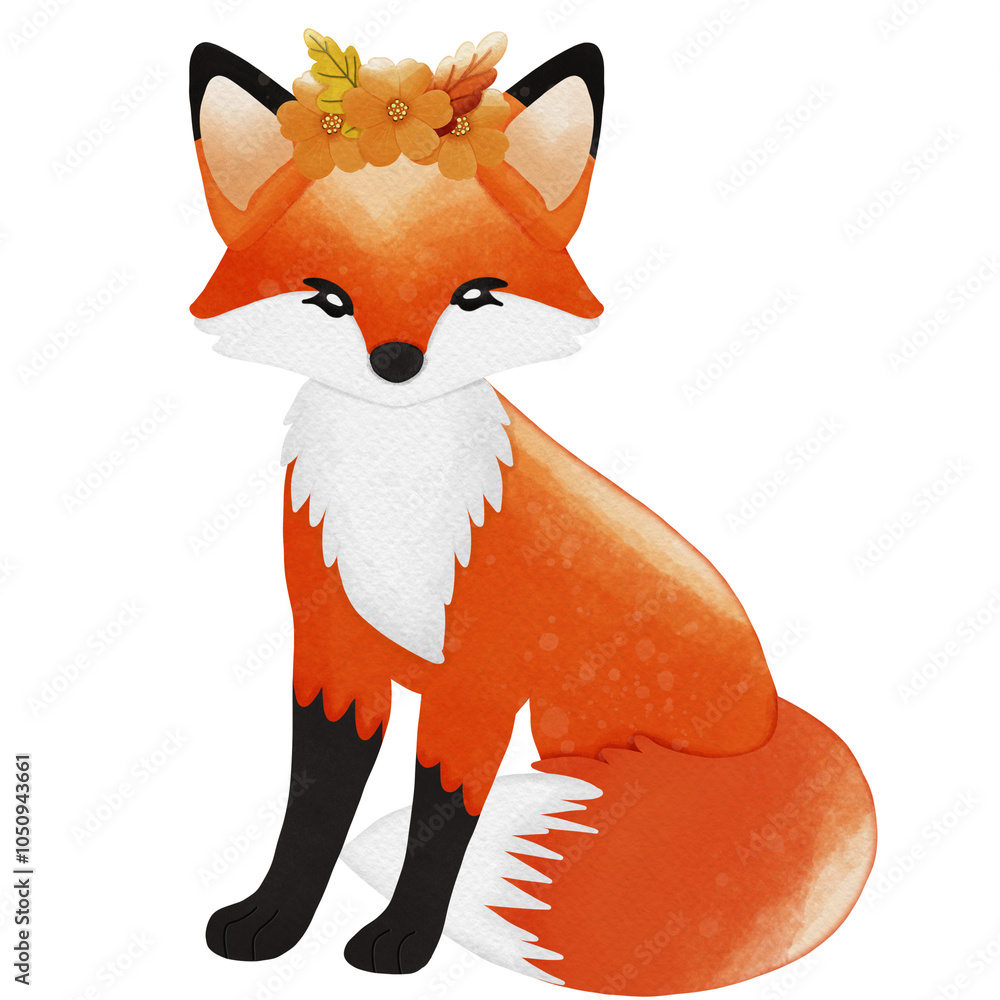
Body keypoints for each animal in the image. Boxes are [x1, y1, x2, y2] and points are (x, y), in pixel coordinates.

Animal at [188, 29, 876, 993]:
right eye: (328, 297)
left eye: (473, 294)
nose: (396, 362)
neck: (396, 502)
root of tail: (774, 720)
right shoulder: (332, 653)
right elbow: (310, 812)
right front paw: (274, 919)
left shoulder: (478, 681)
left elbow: (440, 822)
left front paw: (403, 939)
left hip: (566, 737)